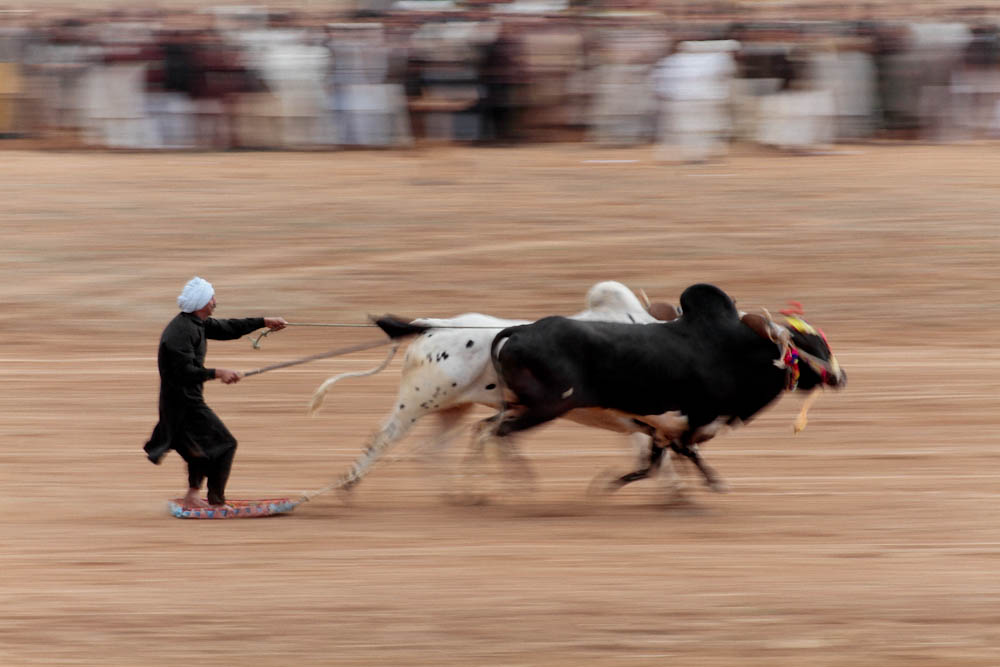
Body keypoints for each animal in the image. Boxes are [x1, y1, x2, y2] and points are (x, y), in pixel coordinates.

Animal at [488, 284, 848, 494]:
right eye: (807, 343)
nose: (841, 376)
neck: (737, 351)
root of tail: (521, 330)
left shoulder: (665, 427)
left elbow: (653, 464)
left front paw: (611, 484)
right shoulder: (692, 420)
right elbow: (685, 453)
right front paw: (713, 484)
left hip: (521, 404)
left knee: (489, 430)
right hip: (546, 407)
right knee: (500, 433)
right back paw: (521, 482)